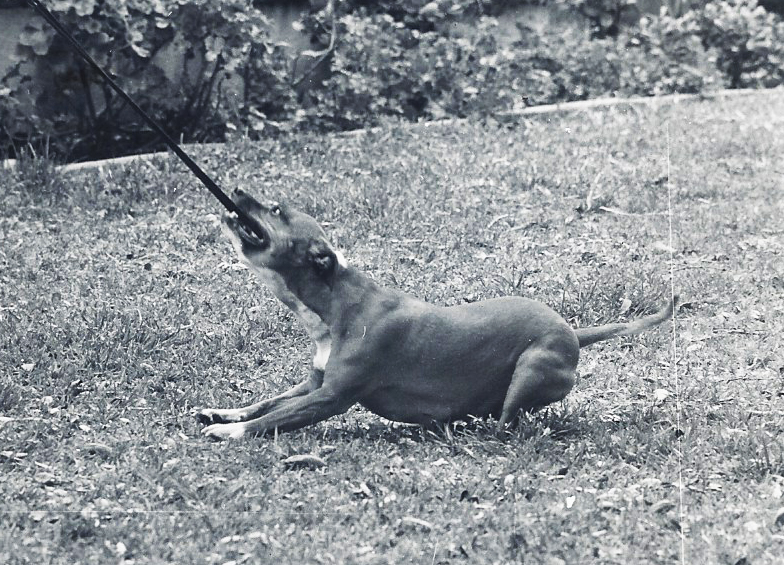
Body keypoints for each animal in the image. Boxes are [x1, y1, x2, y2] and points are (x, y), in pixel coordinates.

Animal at [194, 187, 672, 438]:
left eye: (276, 209)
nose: (237, 191)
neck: (334, 301)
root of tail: (574, 332)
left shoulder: (331, 397)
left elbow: (272, 420)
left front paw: (228, 433)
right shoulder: (313, 384)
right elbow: (267, 403)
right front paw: (225, 414)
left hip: (531, 369)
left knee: (506, 423)